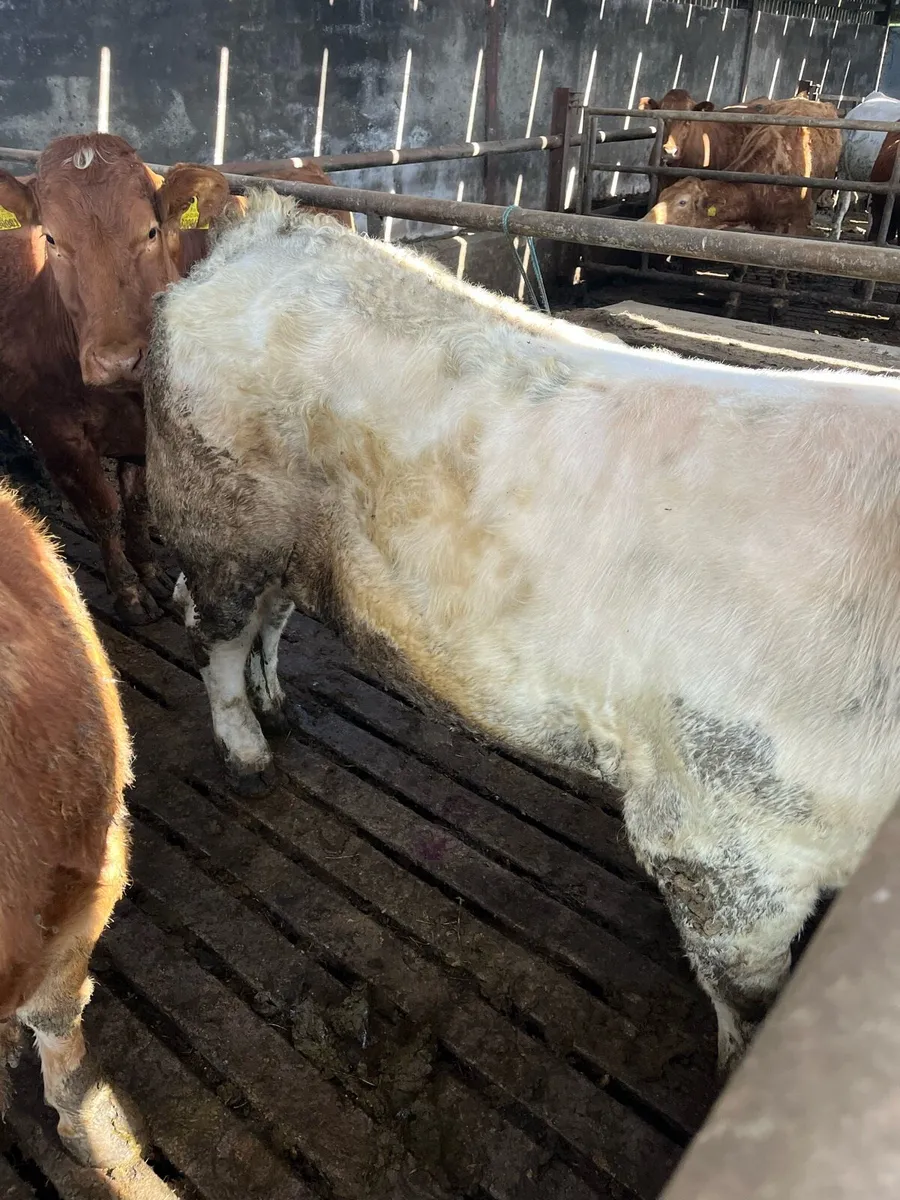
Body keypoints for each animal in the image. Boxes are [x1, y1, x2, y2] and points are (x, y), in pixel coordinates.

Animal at [0, 135, 350, 625]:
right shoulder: (56, 435)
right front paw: (129, 592)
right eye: (51, 238)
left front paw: (148, 570)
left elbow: (137, 503)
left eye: (150, 231)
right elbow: (103, 511)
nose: (117, 360)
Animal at [144, 188, 900, 1074]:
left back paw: (283, 713)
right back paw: (252, 760)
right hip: (218, 515)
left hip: (295, 544)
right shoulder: (721, 821)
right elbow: (749, 997)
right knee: (213, 632)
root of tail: (262, 230)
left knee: (271, 616)